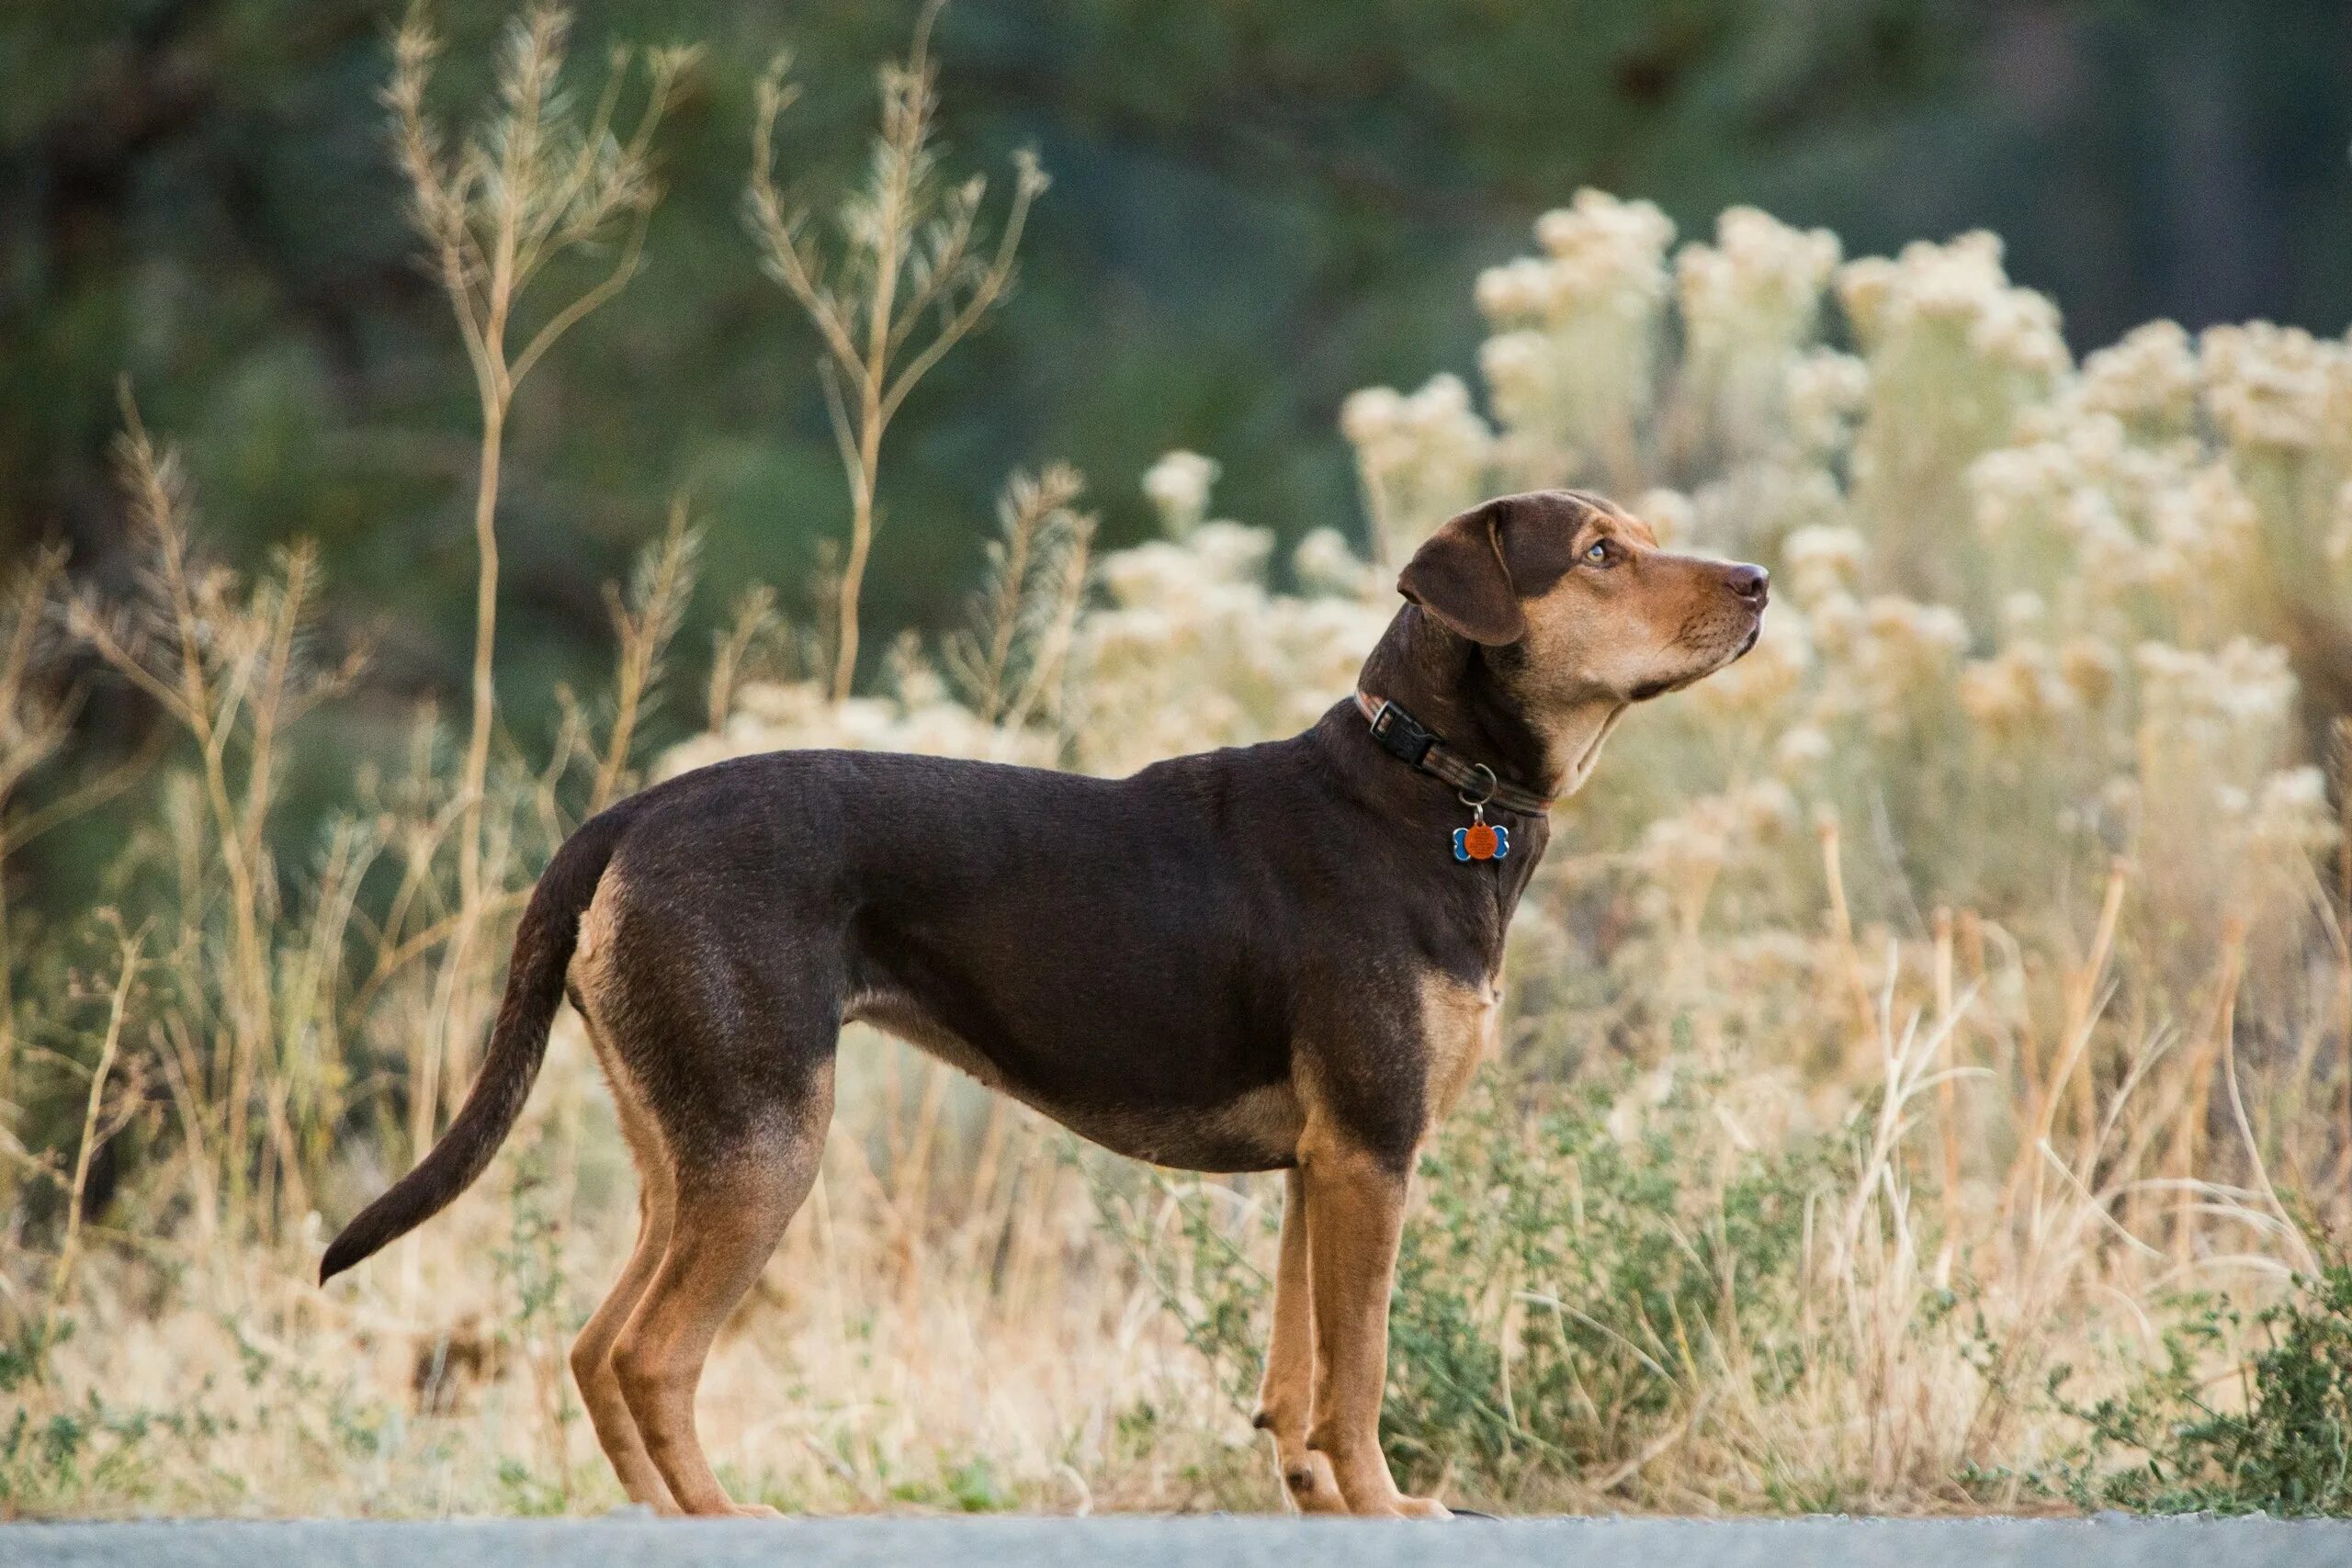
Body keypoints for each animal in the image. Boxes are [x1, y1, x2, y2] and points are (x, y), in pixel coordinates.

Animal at [317, 493, 1769, 1523]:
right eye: (1598, 554)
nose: (1759, 581)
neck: (1429, 784)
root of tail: (629, 814)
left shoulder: (1323, 1165)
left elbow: (1295, 1375)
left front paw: (1316, 1499)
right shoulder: (1374, 1151)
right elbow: (1356, 1376)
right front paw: (1386, 1505)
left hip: (686, 1143)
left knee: (593, 1346)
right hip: (766, 1143)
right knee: (650, 1355)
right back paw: (727, 1516)